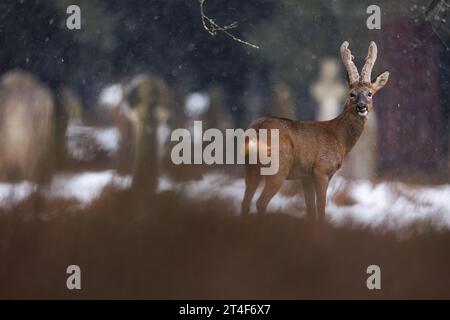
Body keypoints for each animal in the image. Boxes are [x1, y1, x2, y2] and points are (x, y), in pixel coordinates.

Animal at [241, 40, 388, 222]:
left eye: (370, 93)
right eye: (351, 94)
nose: (362, 107)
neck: (339, 138)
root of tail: (256, 129)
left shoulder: (306, 176)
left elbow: (310, 211)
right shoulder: (321, 170)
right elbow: (321, 209)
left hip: (250, 168)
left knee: (245, 202)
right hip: (277, 167)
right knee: (260, 202)